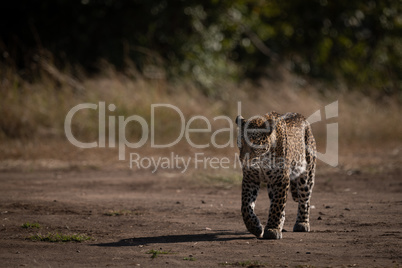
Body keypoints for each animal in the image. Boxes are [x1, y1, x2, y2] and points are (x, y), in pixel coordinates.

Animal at [236, 110, 318, 240]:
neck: (262, 161)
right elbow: (246, 206)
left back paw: (302, 223)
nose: (243, 159)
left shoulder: (281, 179)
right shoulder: (250, 179)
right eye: (241, 142)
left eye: (254, 143)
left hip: (306, 175)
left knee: (305, 199)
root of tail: (302, 116)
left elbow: (277, 205)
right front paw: (255, 227)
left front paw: (272, 230)